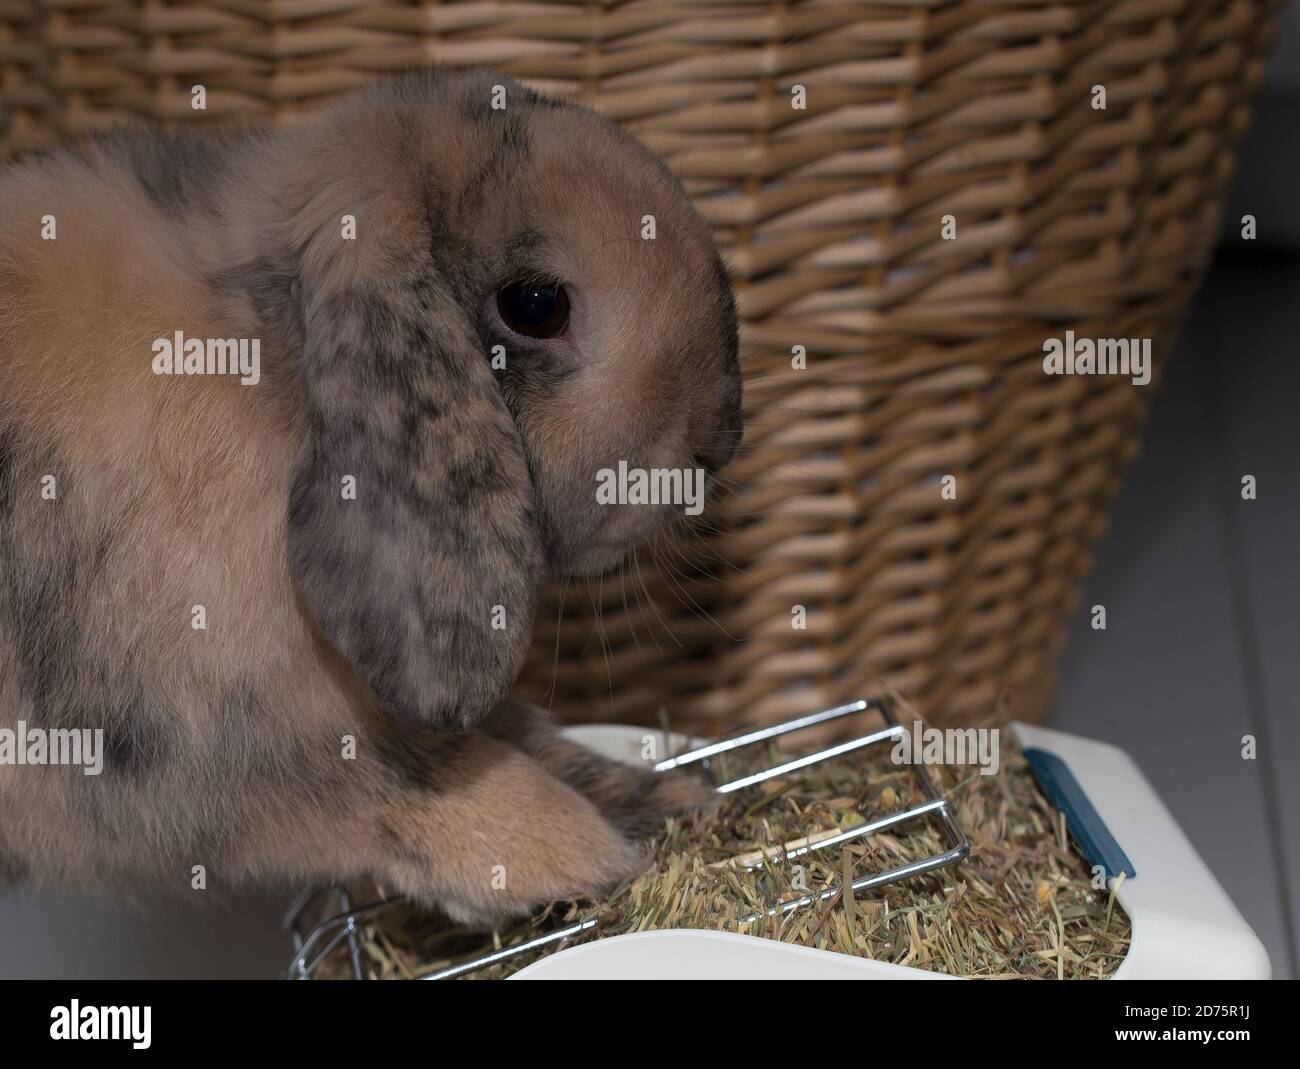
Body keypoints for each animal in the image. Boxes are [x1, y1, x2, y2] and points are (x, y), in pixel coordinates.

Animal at [0, 68, 743, 931]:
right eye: (535, 305)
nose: (719, 439)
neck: (271, 382)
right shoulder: (167, 753)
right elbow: (382, 781)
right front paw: (567, 850)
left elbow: (522, 734)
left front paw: (671, 799)